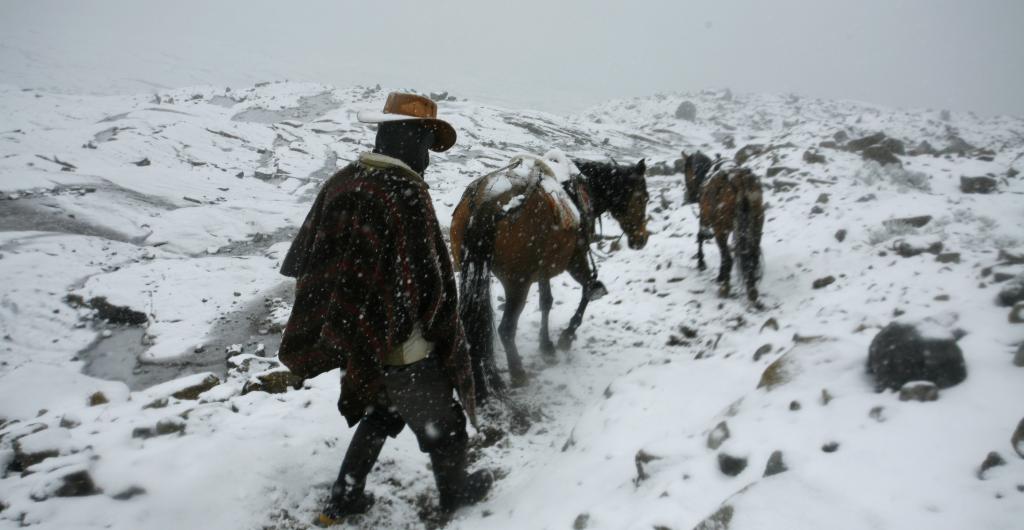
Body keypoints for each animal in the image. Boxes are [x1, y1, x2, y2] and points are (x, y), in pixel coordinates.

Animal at [454, 153, 647, 403]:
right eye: (644, 198)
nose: (642, 238)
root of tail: (489, 201)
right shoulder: (575, 259)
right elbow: (587, 288)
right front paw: (567, 335)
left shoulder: (544, 267)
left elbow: (546, 301)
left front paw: (546, 346)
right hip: (517, 284)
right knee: (506, 329)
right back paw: (517, 374)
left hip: (470, 271)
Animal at [684, 151, 765, 302]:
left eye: (685, 170)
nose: (690, 197)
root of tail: (740, 182)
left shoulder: (704, 219)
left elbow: (700, 236)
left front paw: (701, 263)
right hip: (757, 224)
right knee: (753, 254)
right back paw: (752, 288)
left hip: (720, 228)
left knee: (728, 257)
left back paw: (724, 288)